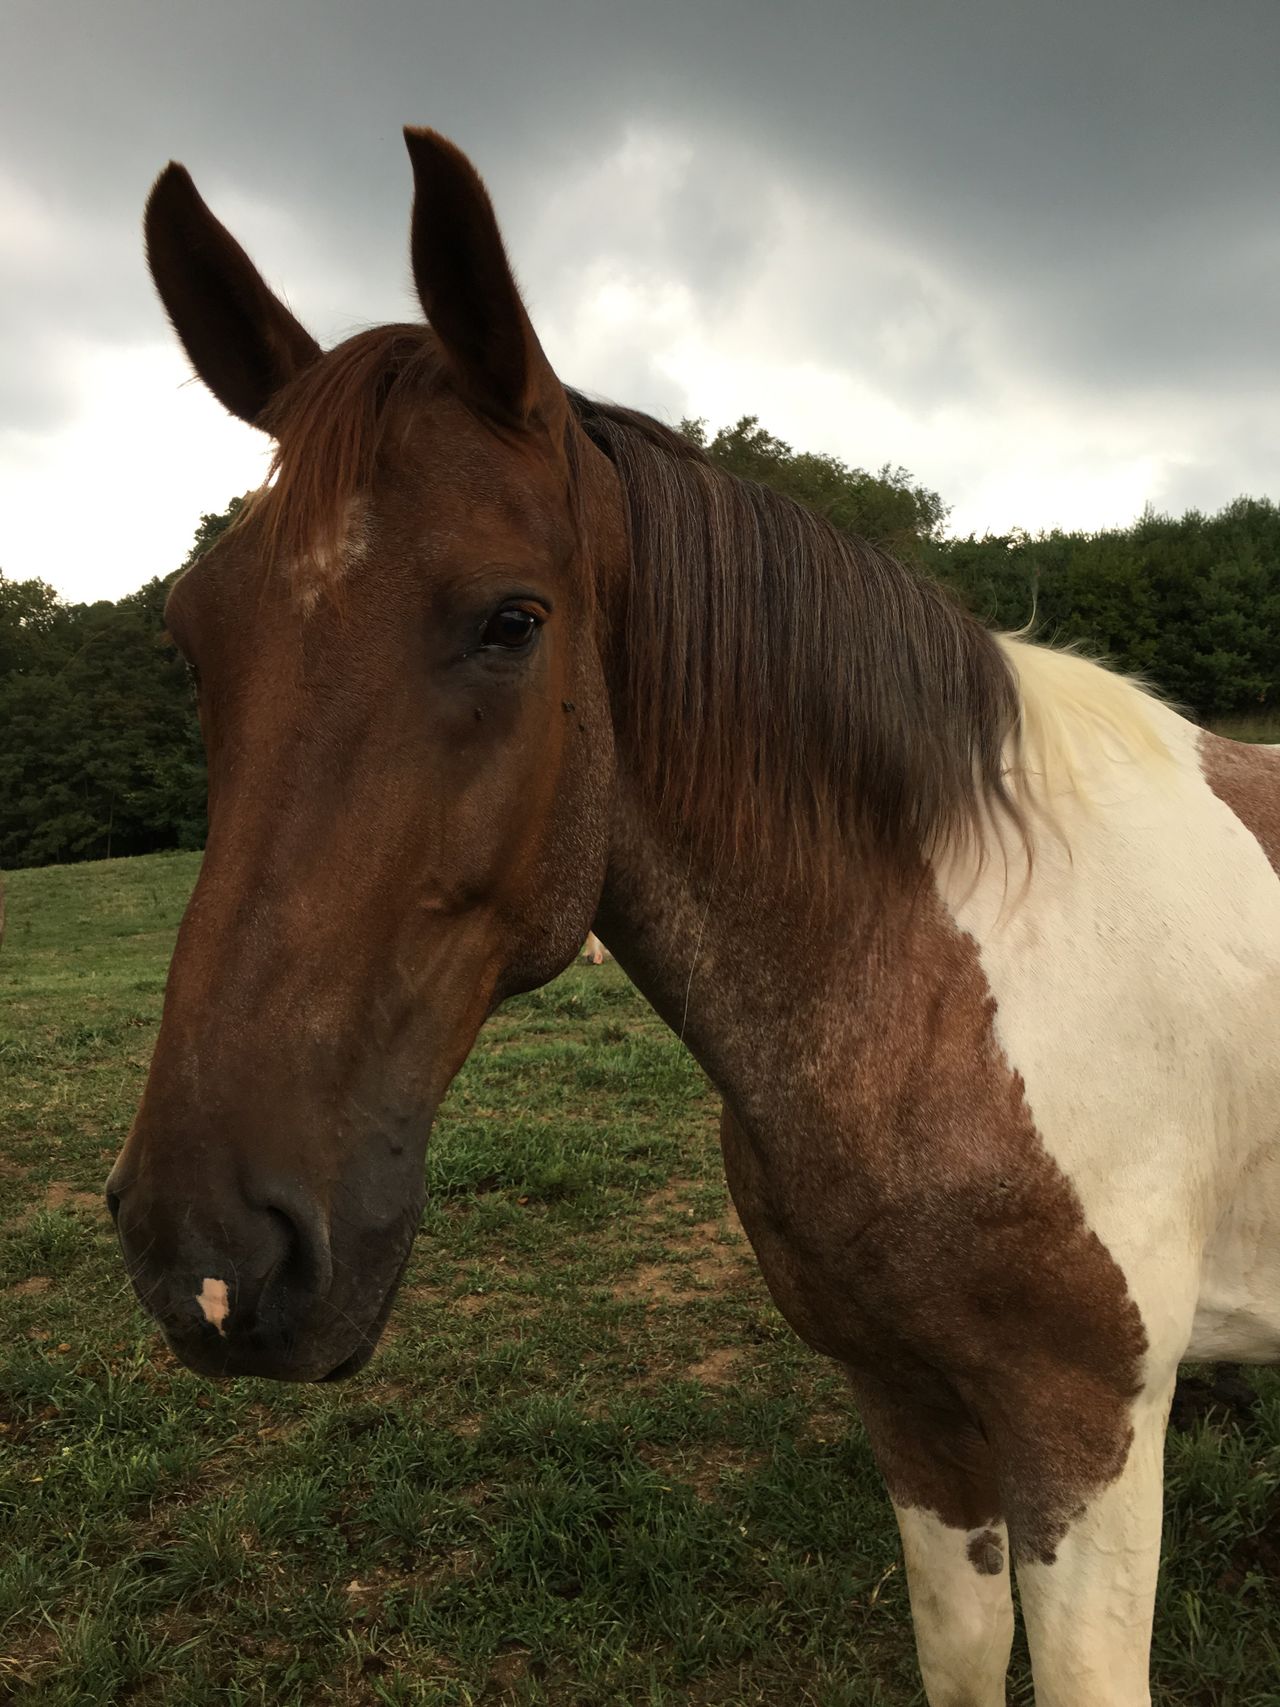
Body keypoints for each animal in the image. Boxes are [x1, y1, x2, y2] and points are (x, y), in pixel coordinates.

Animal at [110, 126, 1280, 1700]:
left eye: (512, 619)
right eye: (192, 633)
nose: (213, 1252)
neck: (947, 982)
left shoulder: (1085, 1439)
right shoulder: (910, 1411)